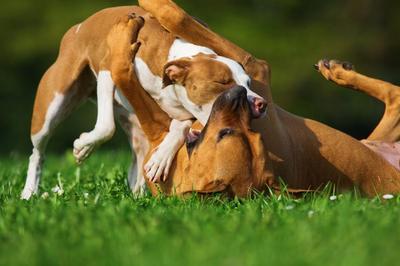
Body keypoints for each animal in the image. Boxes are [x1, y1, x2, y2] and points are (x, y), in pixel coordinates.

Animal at [21, 4, 268, 200]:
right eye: (223, 82)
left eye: (248, 83)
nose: (260, 103)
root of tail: (78, 27)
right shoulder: (108, 71)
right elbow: (106, 127)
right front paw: (83, 147)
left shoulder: (182, 112)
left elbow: (180, 127)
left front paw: (161, 157)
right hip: (51, 107)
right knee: (37, 152)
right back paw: (29, 192)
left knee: (138, 155)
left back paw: (136, 193)